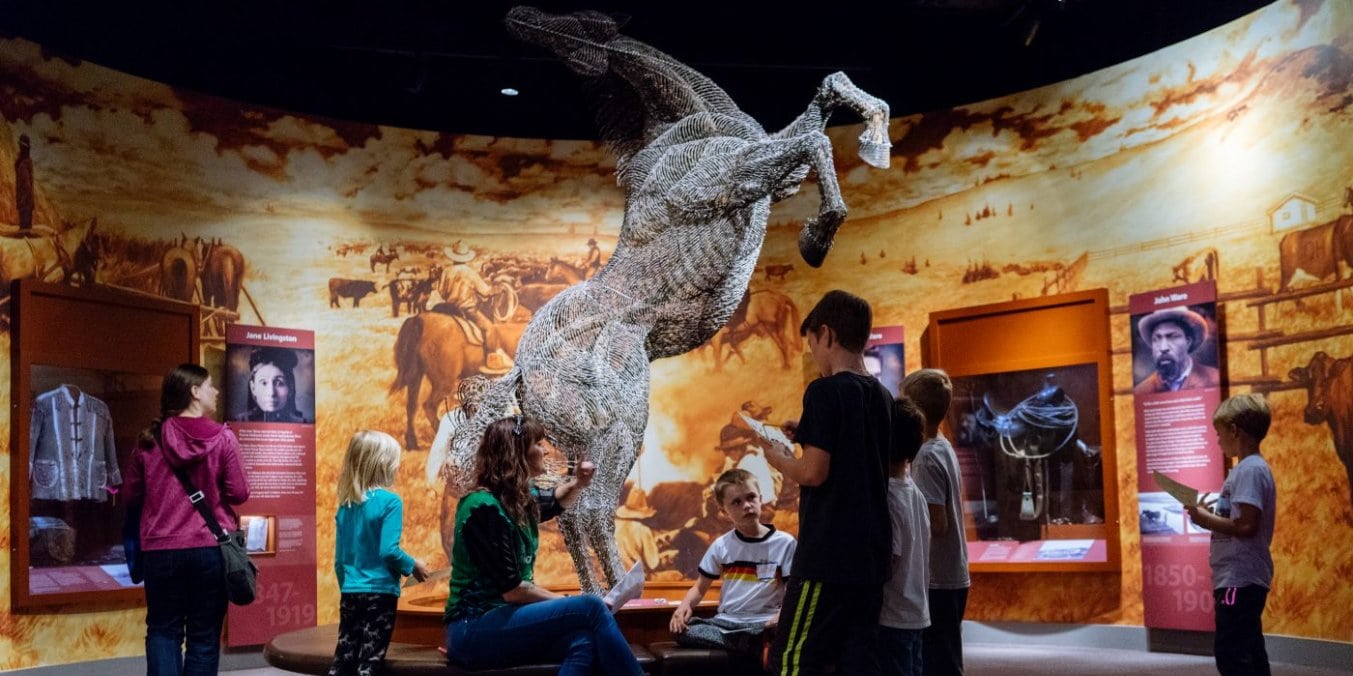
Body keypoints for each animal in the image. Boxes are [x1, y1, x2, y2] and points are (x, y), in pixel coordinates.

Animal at [454, 7, 892, 594]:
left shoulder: (769, 176)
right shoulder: (730, 179)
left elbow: (825, 100)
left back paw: (601, 593)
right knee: (590, 510)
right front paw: (817, 237)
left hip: (578, 443)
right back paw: (622, 594)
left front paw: (874, 143)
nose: (523, 19)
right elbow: (813, 142)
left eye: (578, 21)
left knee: (568, 513)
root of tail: (522, 372)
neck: (685, 127)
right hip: (618, 430)